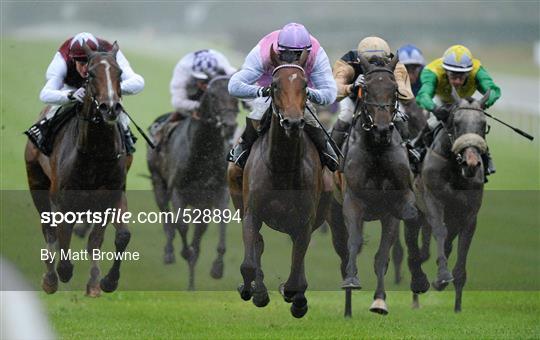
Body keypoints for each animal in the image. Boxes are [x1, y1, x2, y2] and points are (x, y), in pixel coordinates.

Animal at [25, 42, 133, 296]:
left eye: (119, 73)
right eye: (91, 74)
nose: (110, 107)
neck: (95, 152)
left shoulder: (111, 194)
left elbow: (116, 237)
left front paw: (105, 281)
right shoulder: (62, 200)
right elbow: (62, 236)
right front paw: (60, 274)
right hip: (37, 183)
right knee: (49, 231)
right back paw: (50, 278)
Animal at [148, 75, 240, 290]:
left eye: (234, 96)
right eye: (212, 95)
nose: (229, 125)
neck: (204, 150)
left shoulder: (218, 193)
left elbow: (221, 224)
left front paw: (217, 268)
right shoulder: (178, 191)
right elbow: (181, 225)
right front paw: (184, 252)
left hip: (200, 205)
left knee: (198, 230)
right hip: (158, 183)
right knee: (167, 219)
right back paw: (170, 253)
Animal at [229, 45, 334, 318]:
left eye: (305, 85)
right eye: (275, 85)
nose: (293, 121)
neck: (282, 165)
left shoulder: (305, 220)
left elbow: (298, 267)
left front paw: (295, 298)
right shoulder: (252, 212)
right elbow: (248, 263)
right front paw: (253, 291)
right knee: (258, 244)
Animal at [330, 54, 430, 314]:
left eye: (394, 89)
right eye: (365, 88)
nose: (382, 129)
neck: (376, 150)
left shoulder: (393, 207)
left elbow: (383, 255)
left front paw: (380, 300)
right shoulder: (352, 201)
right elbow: (353, 243)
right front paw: (352, 280)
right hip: (334, 213)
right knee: (343, 251)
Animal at [412, 89, 492, 312]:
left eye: (483, 124)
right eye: (456, 122)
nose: (471, 163)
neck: (455, 171)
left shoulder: (468, 216)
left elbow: (460, 254)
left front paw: (457, 306)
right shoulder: (434, 202)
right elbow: (439, 231)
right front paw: (441, 277)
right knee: (415, 249)